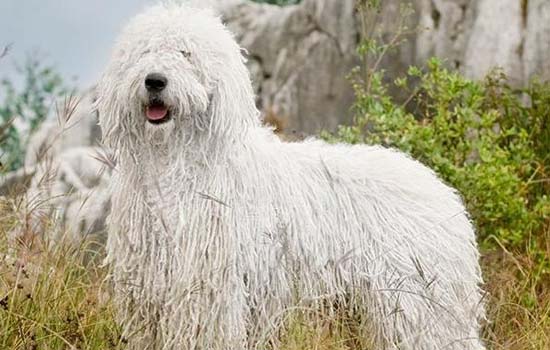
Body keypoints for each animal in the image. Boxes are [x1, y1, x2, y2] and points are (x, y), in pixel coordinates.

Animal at [98, 3, 488, 350]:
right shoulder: (149, 285)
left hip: (418, 301)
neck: (175, 161)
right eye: (145, 52)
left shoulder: (209, 288)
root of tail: (443, 192)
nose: (154, 80)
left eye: (186, 53)